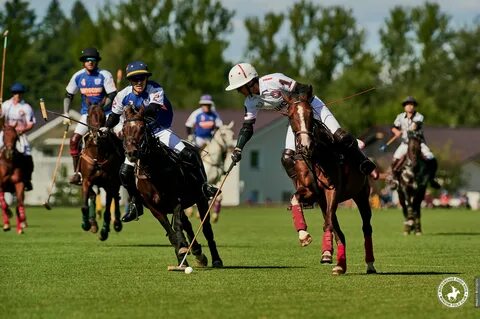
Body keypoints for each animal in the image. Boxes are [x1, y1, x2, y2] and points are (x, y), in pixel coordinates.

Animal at [78, 104, 124, 241]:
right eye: (89, 116)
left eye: (104, 117)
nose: (97, 136)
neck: (98, 155)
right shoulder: (86, 181)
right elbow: (84, 206)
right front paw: (86, 224)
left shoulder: (109, 183)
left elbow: (107, 210)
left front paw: (104, 232)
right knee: (95, 196)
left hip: (115, 183)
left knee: (115, 198)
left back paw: (116, 224)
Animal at [123, 106, 222, 268]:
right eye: (124, 130)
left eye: (142, 128)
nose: (131, 153)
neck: (154, 170)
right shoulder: (155, 209)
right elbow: (171, 232)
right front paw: (181, 256)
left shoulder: (177, 201)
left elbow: (177, 225)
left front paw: (183, 248)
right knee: (188, 225)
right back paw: (197, 252)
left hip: (200, 199)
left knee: (206, 228)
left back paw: (216, 259)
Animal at [284, 94, 376, 276]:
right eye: (291, 116)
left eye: (311, 114)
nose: (305, 145)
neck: (316, 156)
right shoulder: (311, 192)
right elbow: (295, 197)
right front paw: (304, 236)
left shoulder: (332, 190)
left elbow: (328, 223)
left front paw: (326, 250)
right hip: (323, 201)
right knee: (337, 227)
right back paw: (340, 264)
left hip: (361, 194)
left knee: (366, 227)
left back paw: (369, 264)